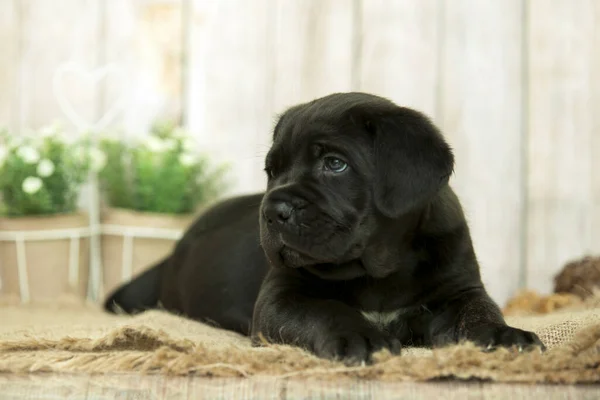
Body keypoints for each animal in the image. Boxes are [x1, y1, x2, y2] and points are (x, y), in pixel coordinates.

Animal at [105, 93, 548, 362]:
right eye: (272, 171)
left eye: (335, 164)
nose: (273, 210)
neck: (380, 269)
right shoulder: (280, 298)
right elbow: (326, 308)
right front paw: (362, 337)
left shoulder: (458, 289)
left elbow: (478, 311)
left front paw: (502, 335)